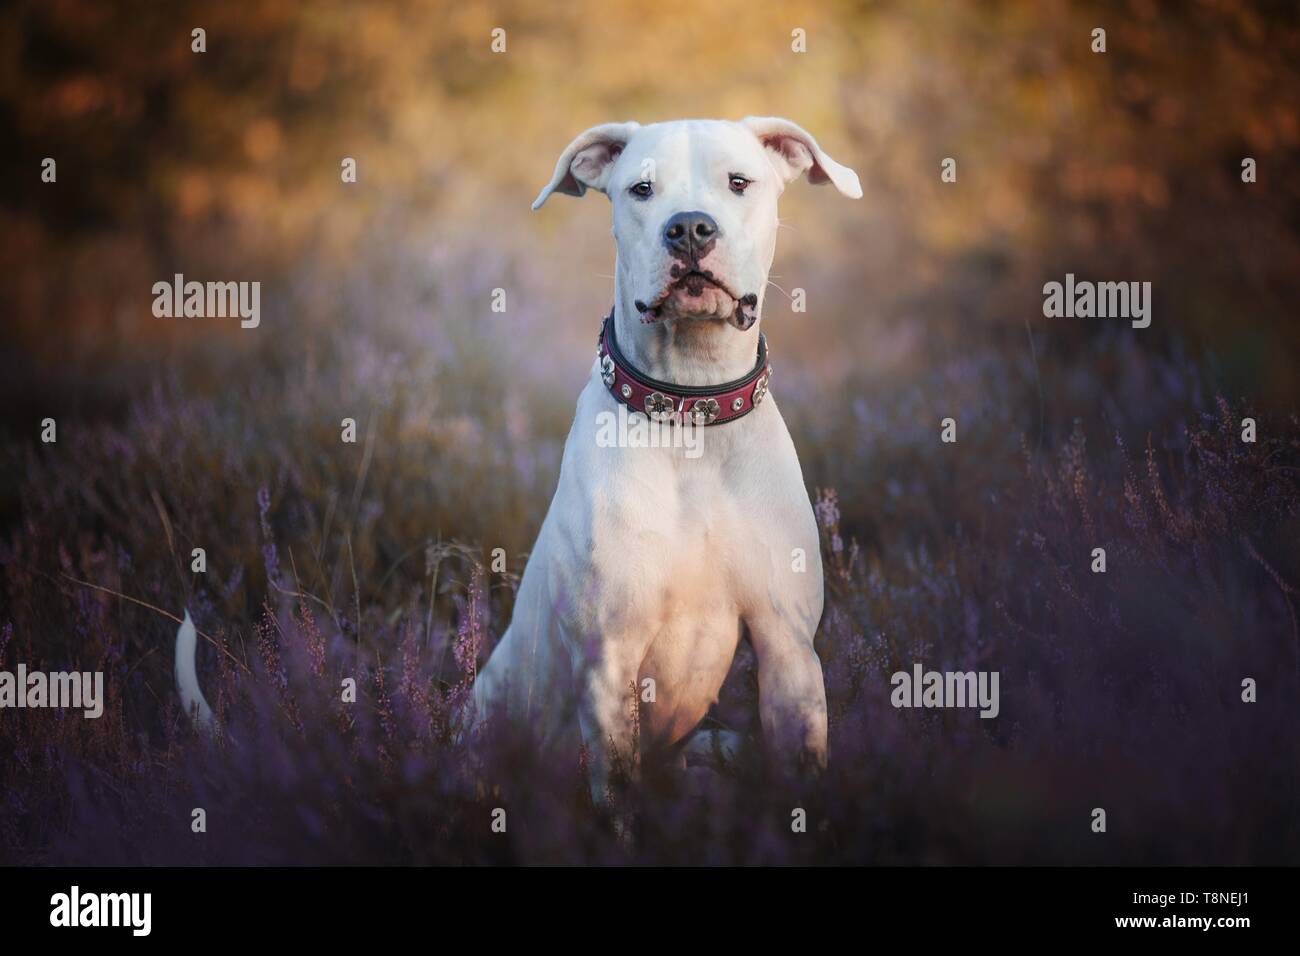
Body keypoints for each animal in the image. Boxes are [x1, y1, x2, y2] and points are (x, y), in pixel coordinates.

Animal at [478, 117, 863, 801]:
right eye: (641, 188)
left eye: (738, 182)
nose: (689, 228)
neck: (692, 411)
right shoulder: (609, 663)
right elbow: (617, 797)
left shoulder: (788, 648)